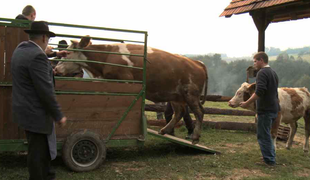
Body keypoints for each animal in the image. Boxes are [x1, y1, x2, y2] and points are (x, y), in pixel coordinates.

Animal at [55, 37, 208, 145]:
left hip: (190, 94)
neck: (107, 56)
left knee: (199, 112)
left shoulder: (126, 81)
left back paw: (195, 137)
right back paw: (164, 130)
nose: (56, 69)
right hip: (175, 96)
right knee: (179, 112)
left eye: (67, 53)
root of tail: (197, 63)